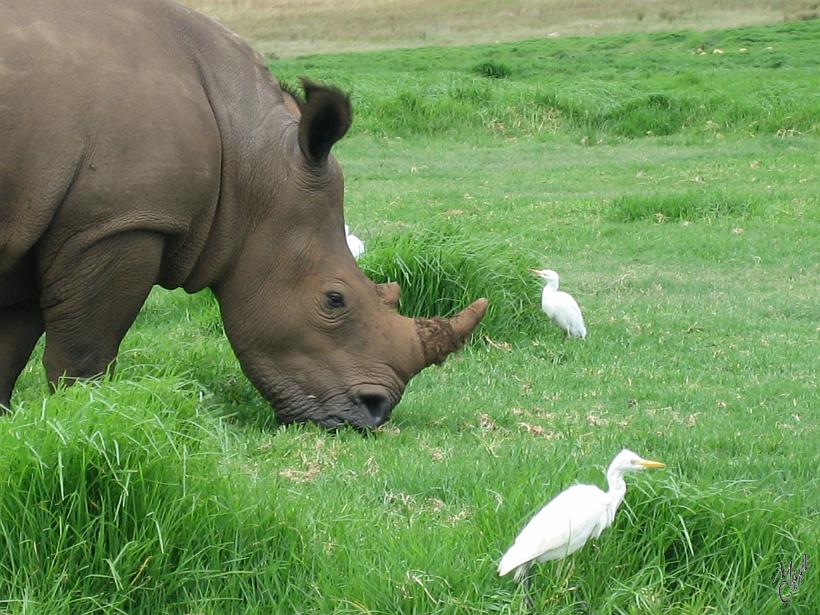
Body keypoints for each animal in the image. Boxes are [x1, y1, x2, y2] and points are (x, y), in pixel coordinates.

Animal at [0, 0, 487, 429]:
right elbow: (85, 354)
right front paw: (83, 419)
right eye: (333, 300)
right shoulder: (116, 224)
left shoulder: (36, 228)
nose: (376, 412)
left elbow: (11, 347)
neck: (249, 160)